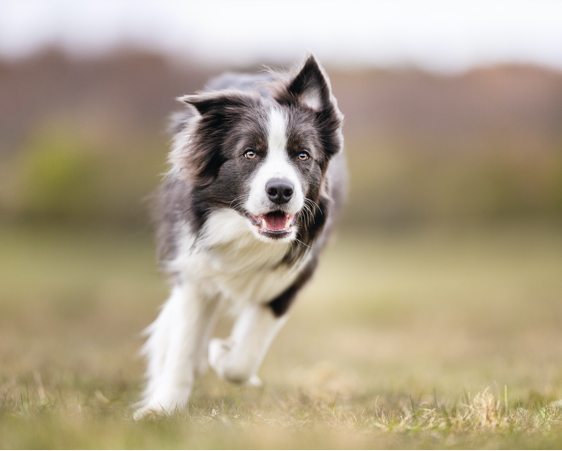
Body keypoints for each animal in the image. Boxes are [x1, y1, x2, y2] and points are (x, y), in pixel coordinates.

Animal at [135, 54, 346, 418]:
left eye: (303, 155)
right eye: (250, 153)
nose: (280, 190)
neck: (246, 235)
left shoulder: (289, 279)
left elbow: (243, 359)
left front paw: (221, 353)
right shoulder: (194, 270)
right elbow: (183, 344)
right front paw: (162, 408)